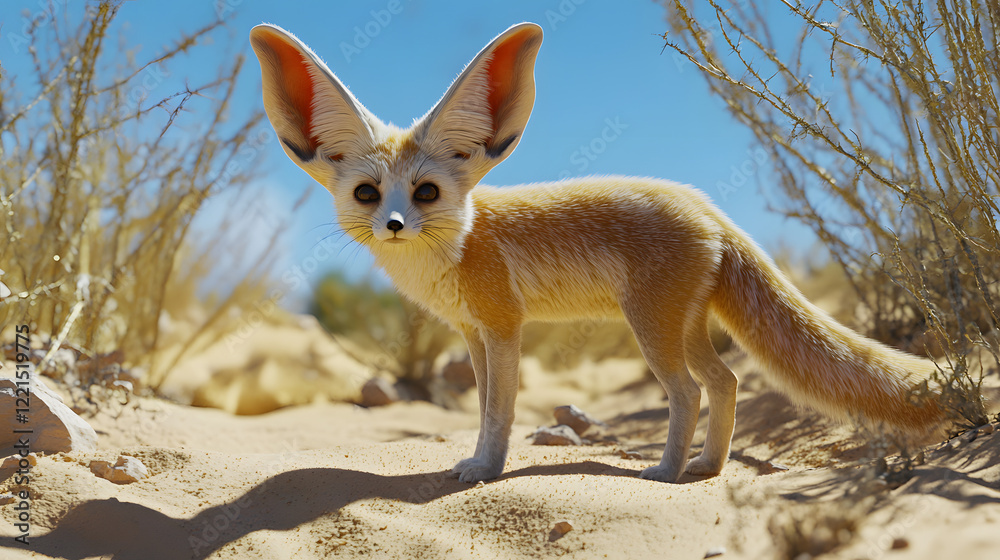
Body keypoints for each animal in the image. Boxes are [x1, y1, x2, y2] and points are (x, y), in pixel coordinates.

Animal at [249, 22, 942, 483]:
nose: (393, 224)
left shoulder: (503, 327)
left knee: (687, 392)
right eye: (367, 194)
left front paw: (486, 471)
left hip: (652, 330)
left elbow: (499, 410)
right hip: (687, 326)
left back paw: (665, 472)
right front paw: (475, 460)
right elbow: (484, 406)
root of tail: (707, 205)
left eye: (425, 192)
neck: (456, 249)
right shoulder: (474, 333)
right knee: (725, 380)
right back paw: (707, 466)